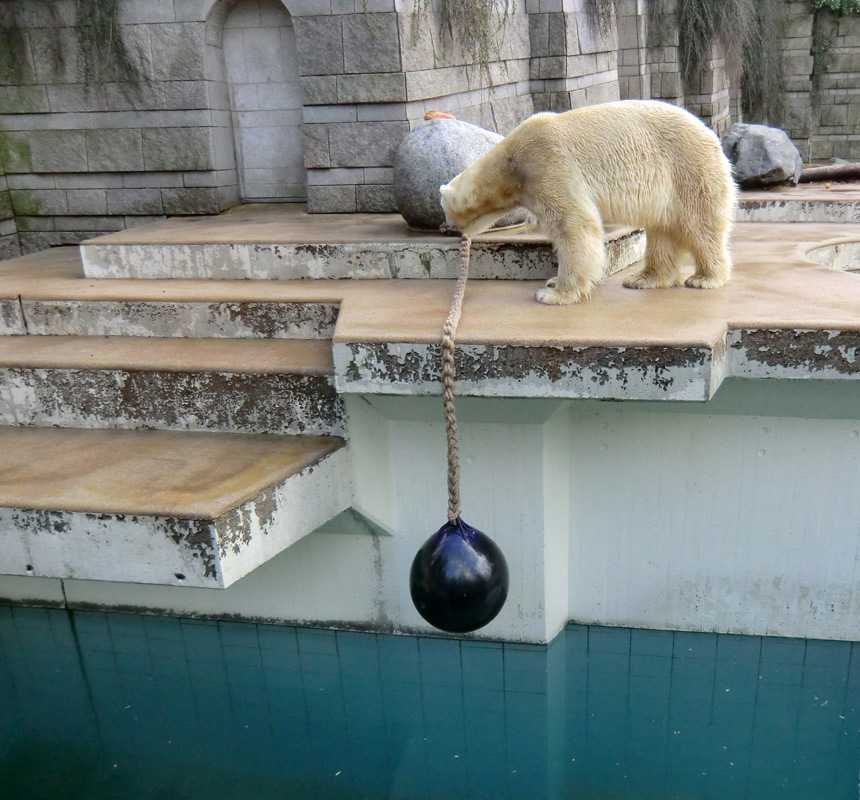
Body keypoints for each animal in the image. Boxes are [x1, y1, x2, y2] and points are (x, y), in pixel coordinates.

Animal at [440, 97, 736, 304]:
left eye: (444, 209)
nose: (447, 228)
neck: (511, 162)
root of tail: (711, 135)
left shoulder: (549, 165)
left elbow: (574, 225)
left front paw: (554, 294)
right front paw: (552, 283)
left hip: (688, 170)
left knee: (700, 226)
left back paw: (705, 278)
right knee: (663, 230)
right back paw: (644, 278)